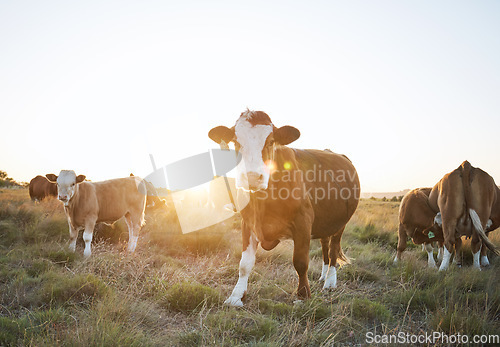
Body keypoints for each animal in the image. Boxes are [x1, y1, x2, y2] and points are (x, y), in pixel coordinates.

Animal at [208, 110, 360, 306]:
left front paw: (303, 296)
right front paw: (236, 296)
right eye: (236, 141)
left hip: (340, 222)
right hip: (325, 220)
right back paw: (322, 276)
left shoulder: (303, 221)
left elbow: (300, 262)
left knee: (333, 249)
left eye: (270, 141)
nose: (252, 177)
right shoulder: (247, 222)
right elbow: (244, 264)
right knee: (325, 245)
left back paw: (330, 282)